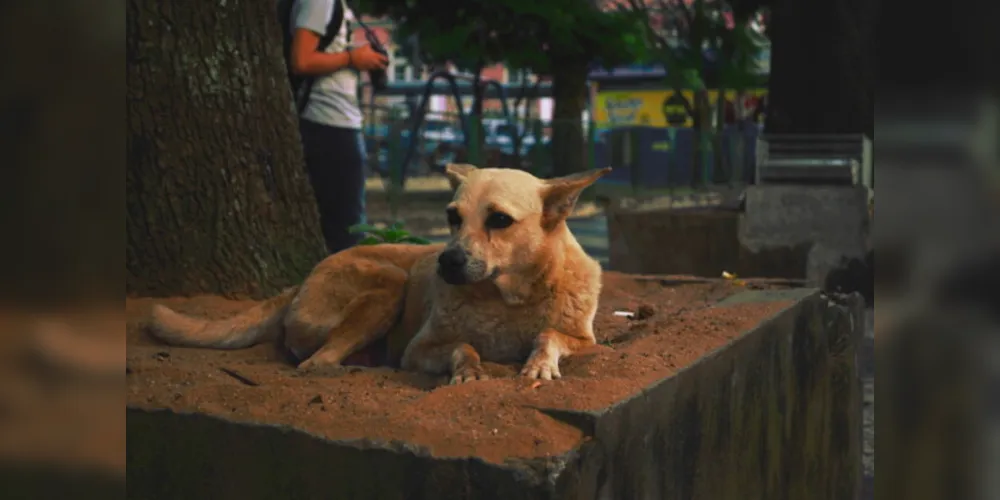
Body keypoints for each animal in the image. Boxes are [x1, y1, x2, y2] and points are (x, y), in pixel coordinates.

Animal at [147, 164, 608, 382]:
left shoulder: (587, 342)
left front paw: (539, 363)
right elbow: (463, 346)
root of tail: (300, 282)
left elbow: (550, 334)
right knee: (315, 362)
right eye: (452, 217)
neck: (508, 299)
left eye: (499, 220)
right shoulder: (418, 350)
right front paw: (469, 369)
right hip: (389, 282)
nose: (446, 261)